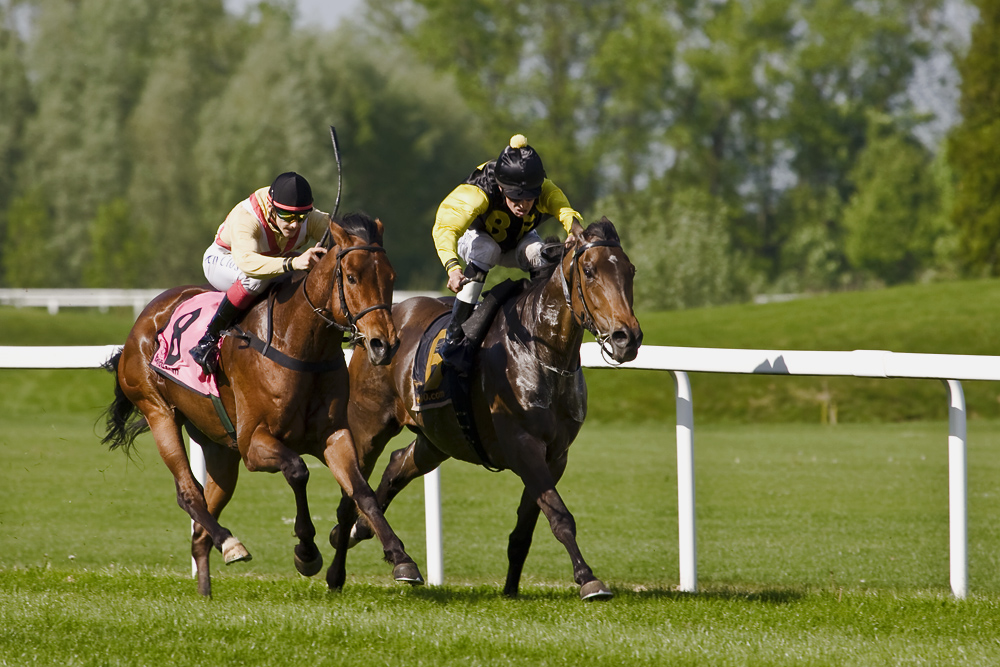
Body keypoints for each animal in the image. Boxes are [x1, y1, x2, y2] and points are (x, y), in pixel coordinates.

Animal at [104, 213, 422, 596]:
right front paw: (306, 551)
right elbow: (298, 470)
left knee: (202, 525)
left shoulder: (333, 435)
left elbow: (362, 490)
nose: (383, 345)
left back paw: (206, 590)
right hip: (158, 411)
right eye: (352, 277)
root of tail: (145, 318)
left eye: (391, 277)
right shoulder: (254, 442)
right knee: (188, 493)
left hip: (220, 449)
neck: (301, 345)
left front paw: (401, 558)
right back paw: (230, 543)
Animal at [332, 219, 644, 600]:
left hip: (438, 439)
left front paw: (510, 589)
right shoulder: (523, 445)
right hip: (369, 425)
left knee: (396, 466)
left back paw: (362, 532)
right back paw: (338, 570)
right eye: (589, 271)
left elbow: (525, 530)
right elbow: (559, 515)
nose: (627, 338)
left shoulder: (555, 455)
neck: (542, 353)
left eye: (630, 270)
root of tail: (373, 330)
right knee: (351, 489)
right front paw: (588, 578)